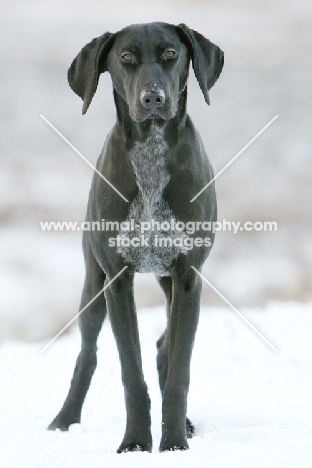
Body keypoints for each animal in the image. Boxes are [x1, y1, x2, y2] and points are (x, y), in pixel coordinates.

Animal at [48, 22, 224, 454]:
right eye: (126, 57)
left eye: (171, 54)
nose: (153, 98)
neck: (151, 151)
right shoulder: (117, 280)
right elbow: (131, 372)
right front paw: (135, 443)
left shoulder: (188, 278)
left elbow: (179, 370)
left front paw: (174, 443)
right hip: (93, 288)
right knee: (87, 354)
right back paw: (63, 421)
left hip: (169, 282)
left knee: (164, 347)